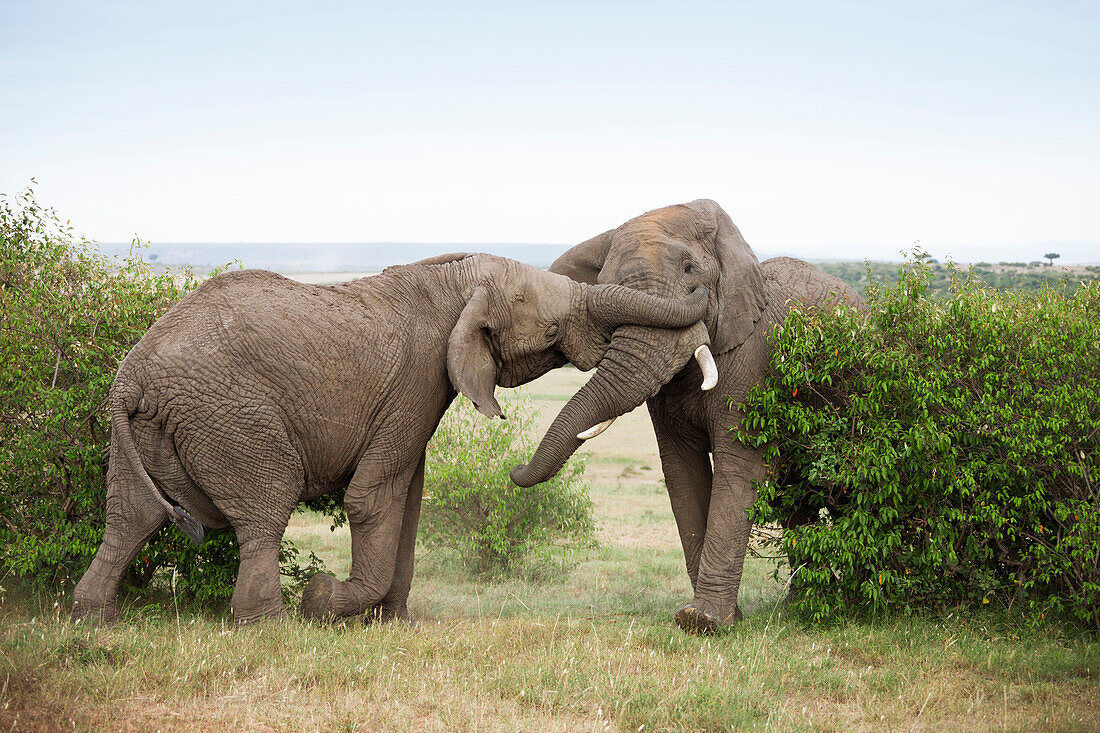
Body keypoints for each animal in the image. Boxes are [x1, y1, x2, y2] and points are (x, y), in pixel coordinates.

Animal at [510, 200, 862, 633]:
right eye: (606, 284)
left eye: (689, 269)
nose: (515, 468)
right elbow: (683, 470)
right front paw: (707, 619)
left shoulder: (753, 358)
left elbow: (738, 465)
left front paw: (704, 620)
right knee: (796, 497)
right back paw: (801, 605)